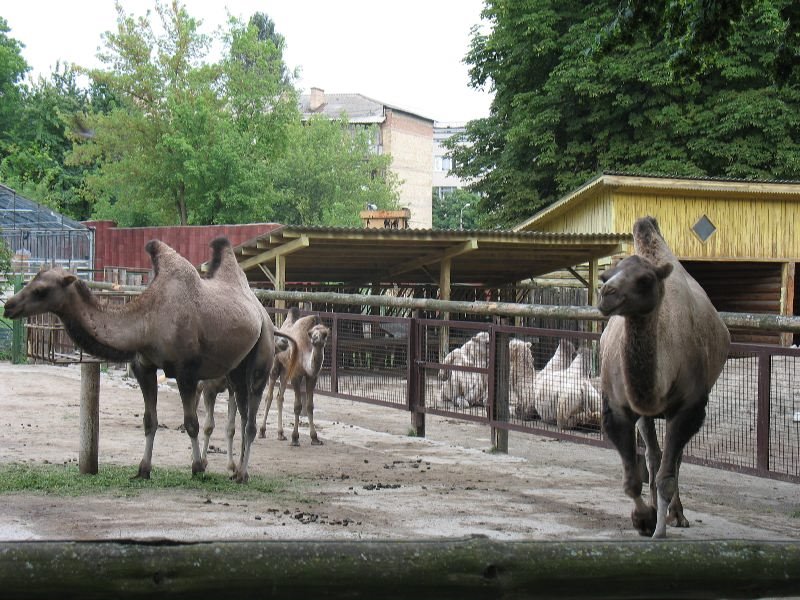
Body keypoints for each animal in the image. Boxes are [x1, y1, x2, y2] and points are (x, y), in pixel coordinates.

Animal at [3, 236, 282, 482]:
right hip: (236, 369)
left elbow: (191, 423)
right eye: (32, 283)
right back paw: (237, 471)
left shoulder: (186, 371)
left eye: (41, 290)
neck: (147, 322)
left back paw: (242, 474)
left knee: (251, 419)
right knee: (244, 414)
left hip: (262, 356)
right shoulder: (143, 366)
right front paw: (143, 470)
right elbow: (150, 421)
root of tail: (263, 314)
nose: (9, 305)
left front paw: (197, 468)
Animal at [258, 310, 330, 446]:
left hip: (286, 371)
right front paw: (295, 438)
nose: (316, 339)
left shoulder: (312, 377)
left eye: (325, 334)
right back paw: (262, 431)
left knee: (279, 397)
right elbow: (297, 406)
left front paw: (315, 438)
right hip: (276, 366)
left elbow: (310, 406)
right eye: (311, 334)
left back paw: (281, 434)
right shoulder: (296, 375)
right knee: (269, 396)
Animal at [596, 217, 728, 540]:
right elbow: (632, 480)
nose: (606, 293)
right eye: (605, 275)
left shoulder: (689, 407)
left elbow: (668, 474)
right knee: (653, 457)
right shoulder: (616, 407)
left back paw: (676, 514)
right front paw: (643, 518)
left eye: (645, 279)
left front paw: (659, 531)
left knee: (672, 462)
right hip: (646, 414)